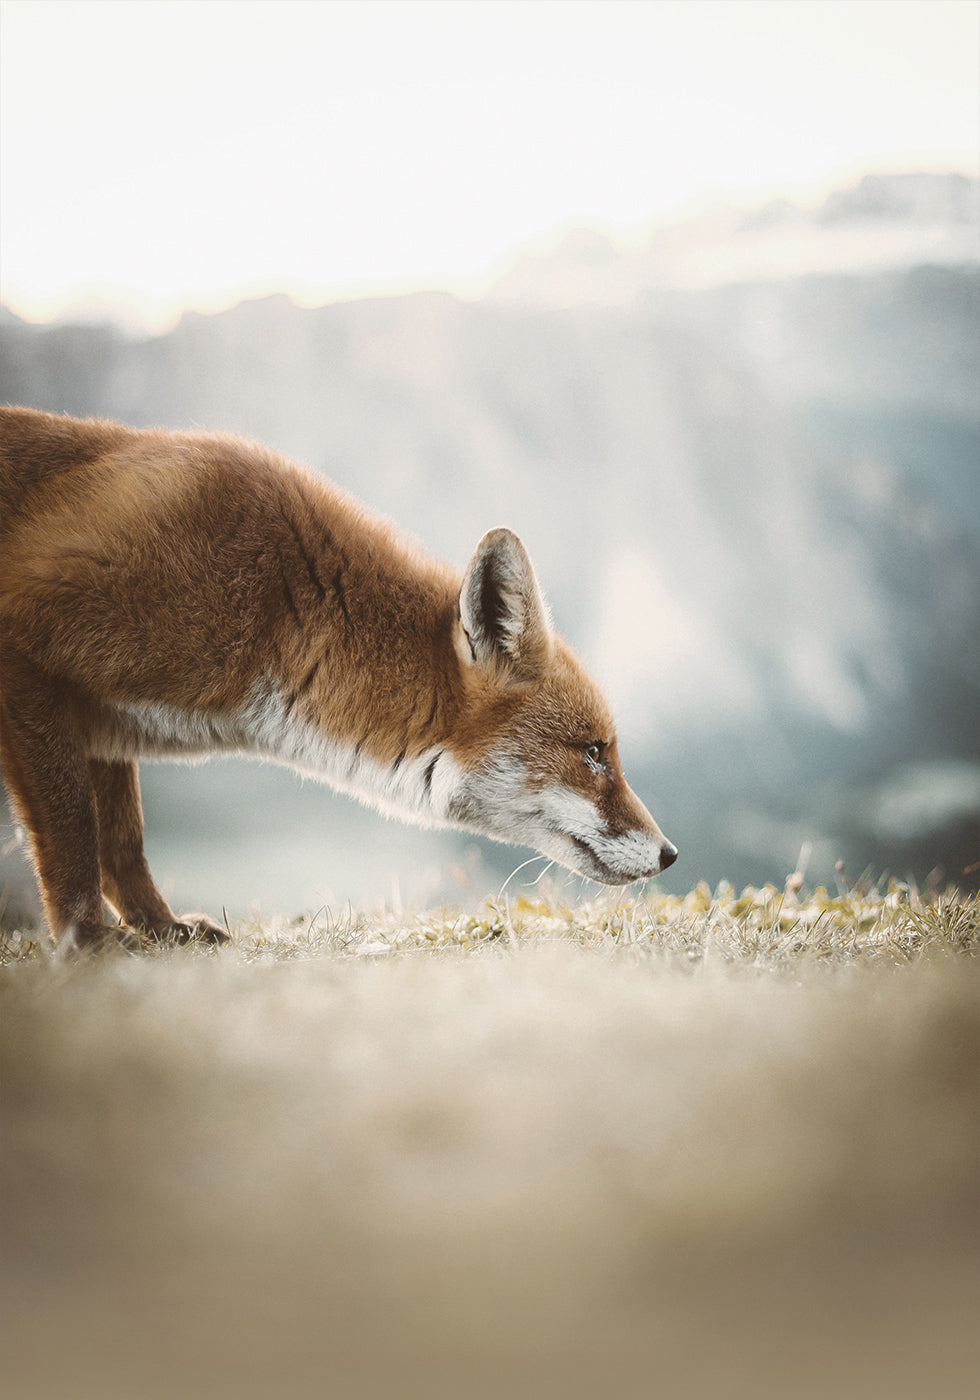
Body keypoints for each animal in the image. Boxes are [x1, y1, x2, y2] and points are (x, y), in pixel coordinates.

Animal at [0, 406, 676, 949]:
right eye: (593, 752)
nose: (671, 854)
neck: (275, 608)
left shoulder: (105, 722)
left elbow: (122, 843)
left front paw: (161, 928)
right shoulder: (28, 642)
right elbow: (76, 833)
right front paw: (87, 942)